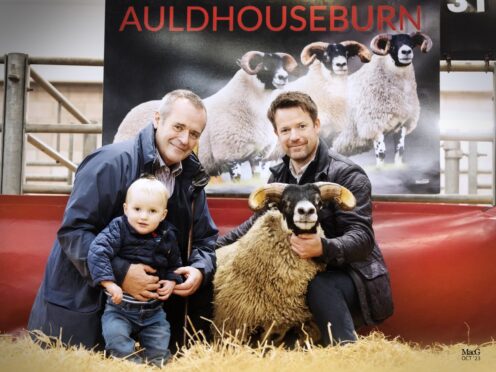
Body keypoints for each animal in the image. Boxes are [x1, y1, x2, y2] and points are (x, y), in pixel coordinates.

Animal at [334, 32, 434, 166]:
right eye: (392, 45)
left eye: (412, 44)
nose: (406, 52)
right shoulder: (374, 125)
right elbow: (381, 154)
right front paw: (380, 168)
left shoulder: (401, 125)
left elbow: (400, 151)